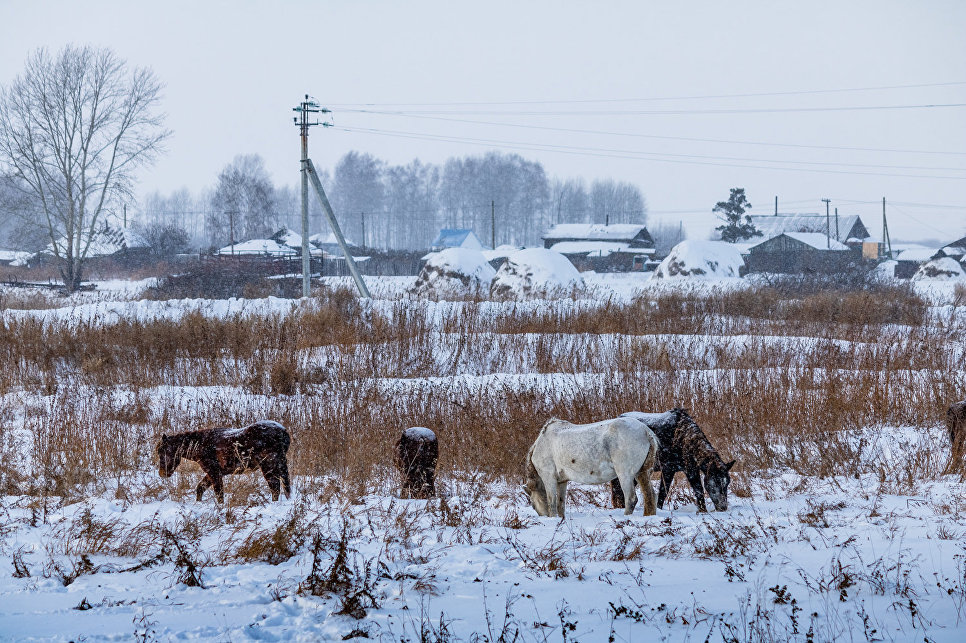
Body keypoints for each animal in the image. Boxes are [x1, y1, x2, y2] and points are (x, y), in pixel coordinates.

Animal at [155, 420, 290, 506]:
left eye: (162, 452)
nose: (162, 473)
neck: (198, 445)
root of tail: (283, 432)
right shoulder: (213, 473)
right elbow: (200, 488)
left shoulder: (214, 472)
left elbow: (219, 493)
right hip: (279, 465)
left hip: (268, 466)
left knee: (275, 487)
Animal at [524, 418, 660, 520]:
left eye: (533, 504)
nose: (543, 516)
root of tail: (646, 432)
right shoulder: (562, 481)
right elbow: (560, 504)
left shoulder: (549, 478)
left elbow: (552, 503)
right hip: (642, 472)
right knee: (650, 496)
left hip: (625, 474)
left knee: (631, 499)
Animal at [608, 412, 736, 512]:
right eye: (715, 482)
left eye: (727, 483)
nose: (723, 507)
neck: (685, 439)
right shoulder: (678, 470)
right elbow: (695, 490)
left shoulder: (677, 470)